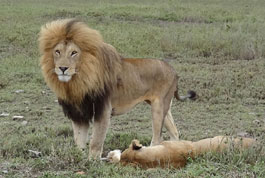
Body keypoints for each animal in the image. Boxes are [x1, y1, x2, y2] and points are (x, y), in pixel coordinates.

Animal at [38, 18, 194, 159]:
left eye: (74, 52)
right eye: (57, 52)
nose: (62, 68)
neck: (77, 81)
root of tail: (174, 70)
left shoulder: (102, 110)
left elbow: (95, 142)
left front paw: (92, 163)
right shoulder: (78, 114)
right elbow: (79, 142)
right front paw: (78, 159)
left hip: (158, 108)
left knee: (157, 137)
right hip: (164, 107)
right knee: (175, 132)